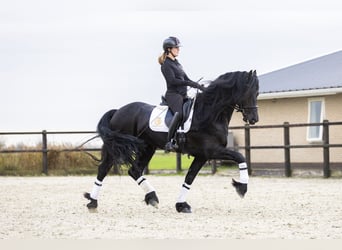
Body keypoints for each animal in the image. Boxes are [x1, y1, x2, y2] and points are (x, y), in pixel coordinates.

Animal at [84, 70, 258, 213]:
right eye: (249, 92)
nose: (254, 119)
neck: (209, 114)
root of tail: (117, 111)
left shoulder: (202, 155)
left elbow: (189, 178)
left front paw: (181, 205)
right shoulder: (212, 151)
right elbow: (240, 157)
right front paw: (242, 187)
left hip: (148, 147)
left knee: (134, 171)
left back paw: (151, 198)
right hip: (117, 147)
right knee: (104, 169)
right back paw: (93, 203)